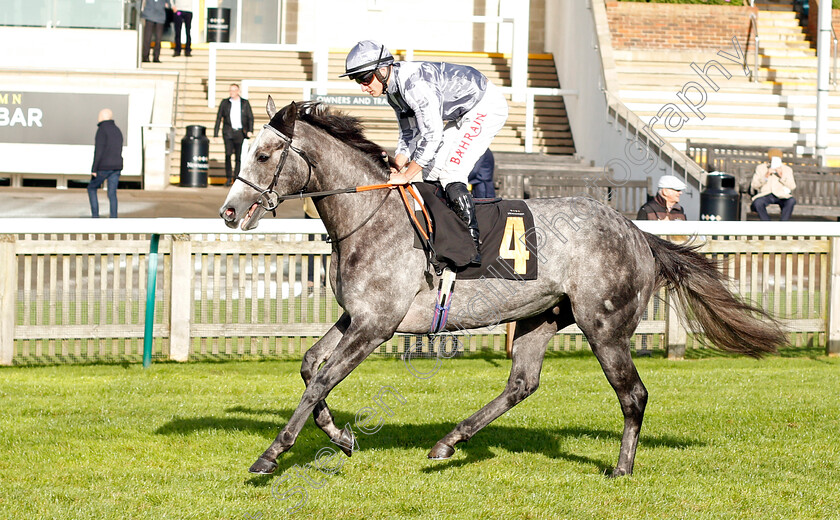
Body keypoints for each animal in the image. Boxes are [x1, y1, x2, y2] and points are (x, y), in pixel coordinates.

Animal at [220, 99, 784, 478]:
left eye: (265, 155)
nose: (227, 211)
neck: (369, 216)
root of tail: (635, 232)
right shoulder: (357, 316)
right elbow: (311, 366)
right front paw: (341, 437)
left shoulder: (376, 325)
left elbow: (321, 379)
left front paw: (272, 453)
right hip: (541, 315)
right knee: (522, 383)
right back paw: (449, 442)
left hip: (604, 327)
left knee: (633, 394)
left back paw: (622, 468)